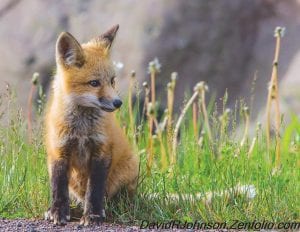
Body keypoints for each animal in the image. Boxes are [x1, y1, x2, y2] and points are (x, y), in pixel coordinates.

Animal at [43, 24, 138, 225]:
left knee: (115, 197)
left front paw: (93, 215)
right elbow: (58, 187)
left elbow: (94, 189)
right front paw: (58, 212)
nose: (118, 103)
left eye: (112, 80)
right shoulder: (59, 150)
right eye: (94, 83)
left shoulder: (101, 151)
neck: (81, 130)